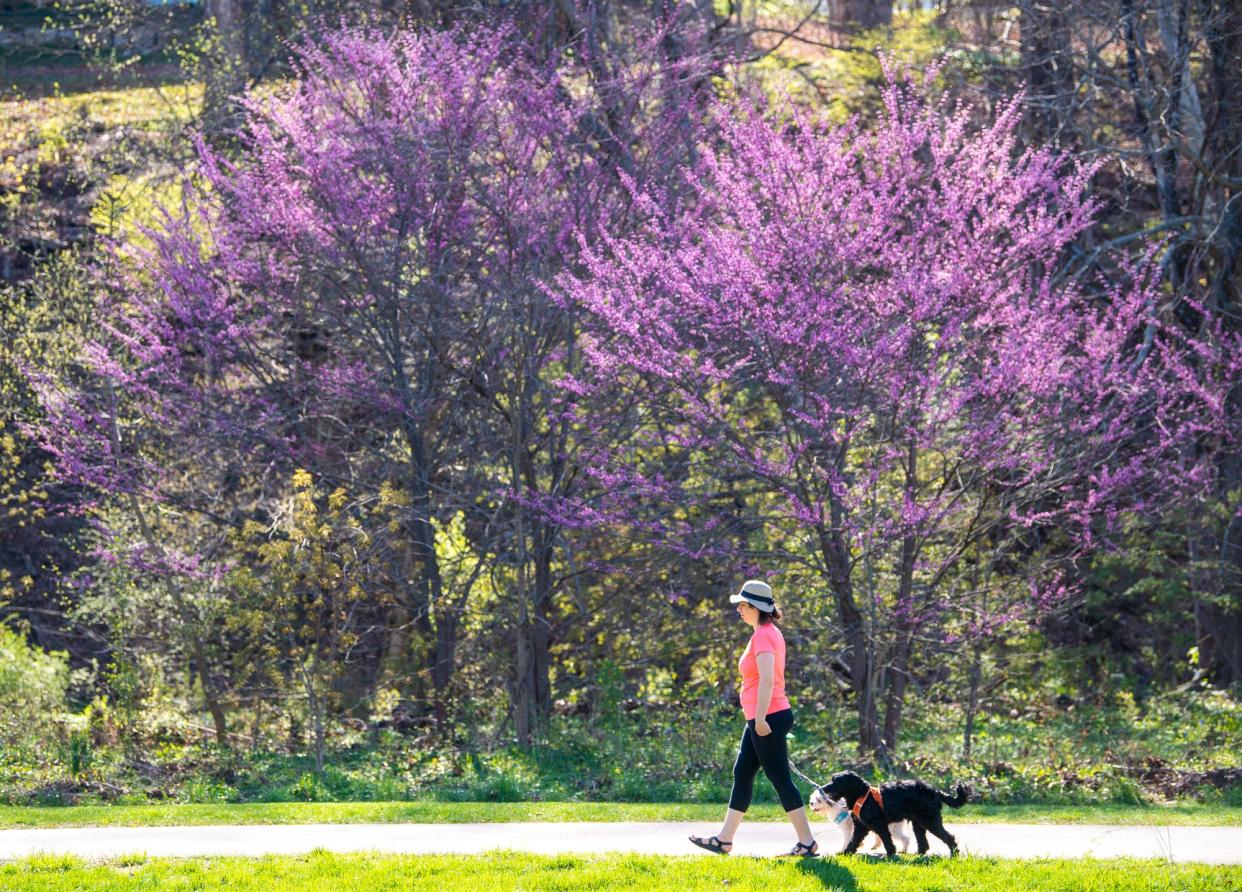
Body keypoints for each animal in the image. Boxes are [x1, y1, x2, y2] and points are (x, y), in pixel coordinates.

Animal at [824, 770, 968, 859]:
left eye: (836, 781)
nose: (824, 788)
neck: (862, 794)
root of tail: (935, 790)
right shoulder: (860, 827)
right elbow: (853, 841)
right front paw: (845, 853)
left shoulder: (879, 825)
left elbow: (887, 840)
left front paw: (890, 854)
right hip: (919, 823)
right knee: (924, 843)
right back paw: (918, 855)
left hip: (930, 820)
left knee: (949, 837)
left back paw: (954, 853)